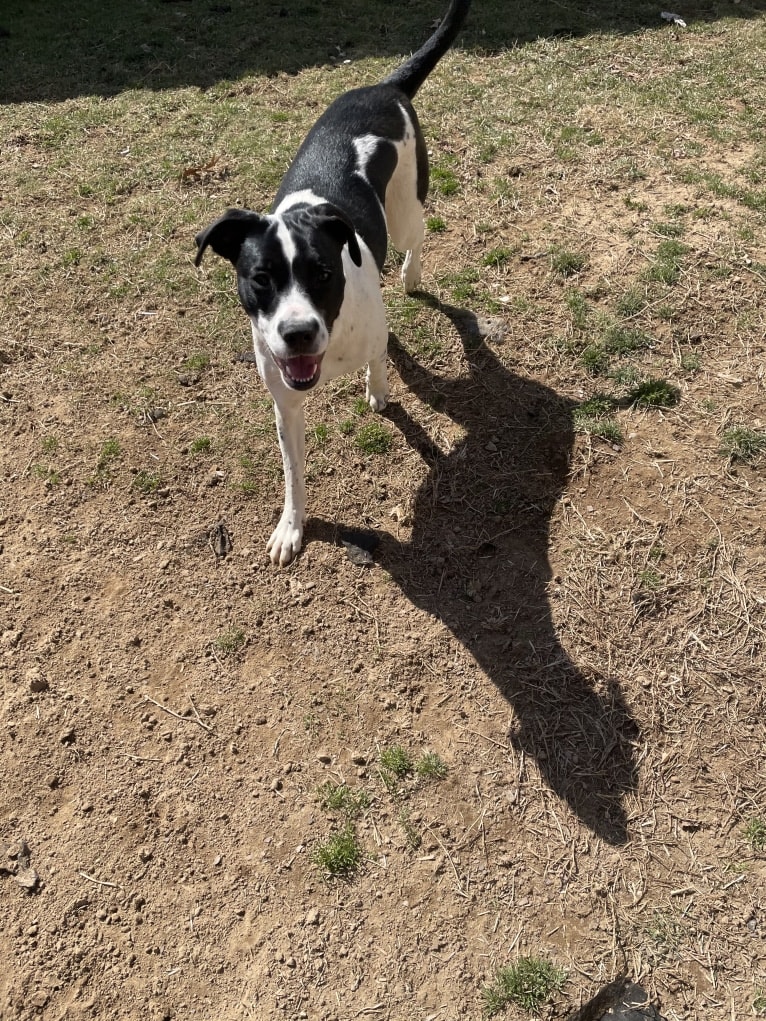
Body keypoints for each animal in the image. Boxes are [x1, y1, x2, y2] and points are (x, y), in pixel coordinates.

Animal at [196, 0, 473, 567]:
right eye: (261, 278)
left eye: (322, 273)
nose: (298, 333)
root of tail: (385, 87)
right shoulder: (285, 406)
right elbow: (294, 475)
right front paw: (291, 528)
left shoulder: (369, 332)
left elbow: (380, 363)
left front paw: (379, 389)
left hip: (406, 210)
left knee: (416, 237)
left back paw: (410, 275)